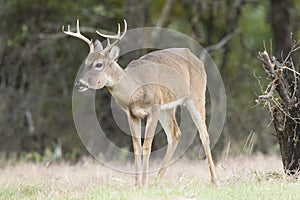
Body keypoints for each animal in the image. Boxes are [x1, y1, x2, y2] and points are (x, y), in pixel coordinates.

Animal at [62, 19, 216, 187]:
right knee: (175, 134)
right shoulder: (132, 115)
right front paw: (137, 184)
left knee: (204, 133)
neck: (135, 90)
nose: (79, 84)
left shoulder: (154, 108)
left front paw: (144, 183)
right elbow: (136, 147)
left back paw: (214, 181)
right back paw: (157, 180)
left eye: (98, 64)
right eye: (86, 62)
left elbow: (147, 146)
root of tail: (197, 58)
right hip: (167, 108)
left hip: (196, 95)